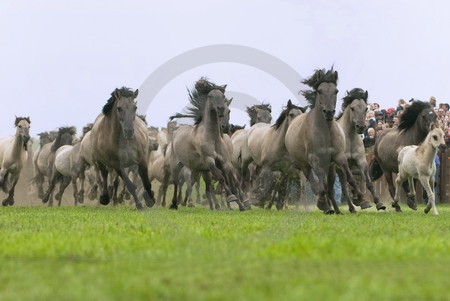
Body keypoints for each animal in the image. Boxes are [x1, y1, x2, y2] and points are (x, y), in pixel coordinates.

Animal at [170, 77, 246, 210]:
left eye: (223, 95)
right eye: (210, 96)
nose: (220, 109)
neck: (213, 137)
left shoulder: (224, 162)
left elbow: (232, 182)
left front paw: (241, 204)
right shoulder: (209, 161)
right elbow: (222, 179)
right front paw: (231, 198)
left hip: (203, 171)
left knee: (206, 187)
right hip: (178, 166)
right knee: (177, 182)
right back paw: (175, 203)